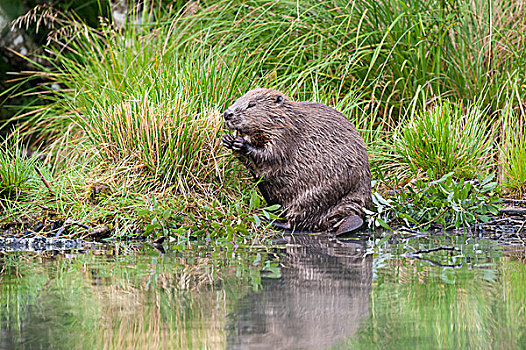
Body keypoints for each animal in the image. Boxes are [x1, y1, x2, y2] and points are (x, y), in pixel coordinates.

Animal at [223, 87, 376, 235]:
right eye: (238, 99)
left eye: (252, 104)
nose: (227, 114)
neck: (289, 119)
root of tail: (357, 212)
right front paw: (228, 139)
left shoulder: (285, 136)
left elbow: (270, 155)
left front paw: (241, 143)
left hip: (315, 196)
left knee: (299, 221)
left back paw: (270, 220)